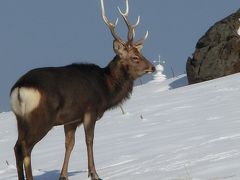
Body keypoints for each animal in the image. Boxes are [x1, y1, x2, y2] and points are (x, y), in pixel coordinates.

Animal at [9, 0, 156, 179]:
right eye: (135, 57)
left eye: (140, 53)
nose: (152, 67)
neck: (107, 88)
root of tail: (20, 88)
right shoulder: (90, 110)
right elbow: (89, 140)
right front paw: (94, 174)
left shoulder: (71, 119)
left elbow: (69, 144)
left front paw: (63, 175)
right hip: (41, 118)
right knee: (25, 147)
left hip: (20, 119)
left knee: (17, 147)